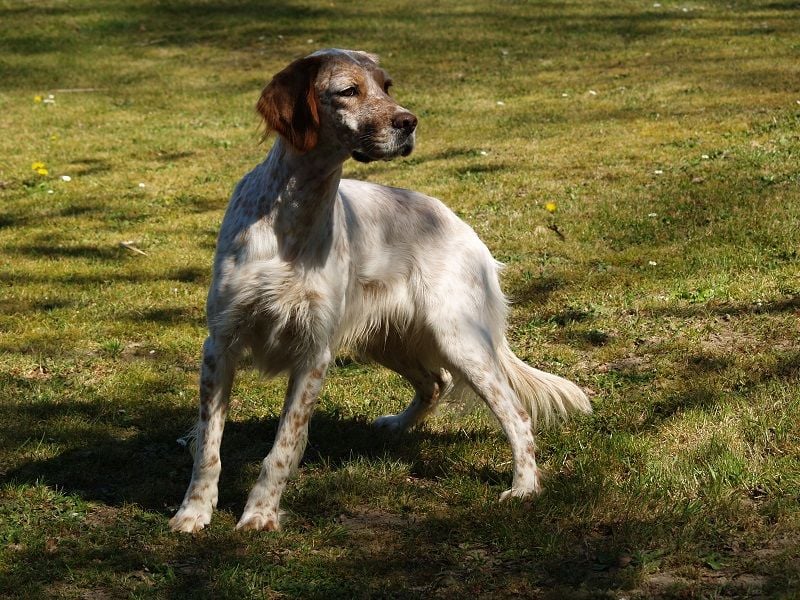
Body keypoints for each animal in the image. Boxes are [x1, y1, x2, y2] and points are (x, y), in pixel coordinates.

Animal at [169, 49, 592, 532]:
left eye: (387, 87)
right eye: (348, 90)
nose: (409, 122)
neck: (290, 218)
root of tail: (460, 225)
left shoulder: (314, 353)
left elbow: (282, 447)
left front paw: (260, 514)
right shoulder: (220, 343)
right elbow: (209, 444)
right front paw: (194, 511)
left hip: (459, 338)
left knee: (515, 413)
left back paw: (524, 487)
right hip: (387, 340)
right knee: (436, 383)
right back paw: (395, 426)